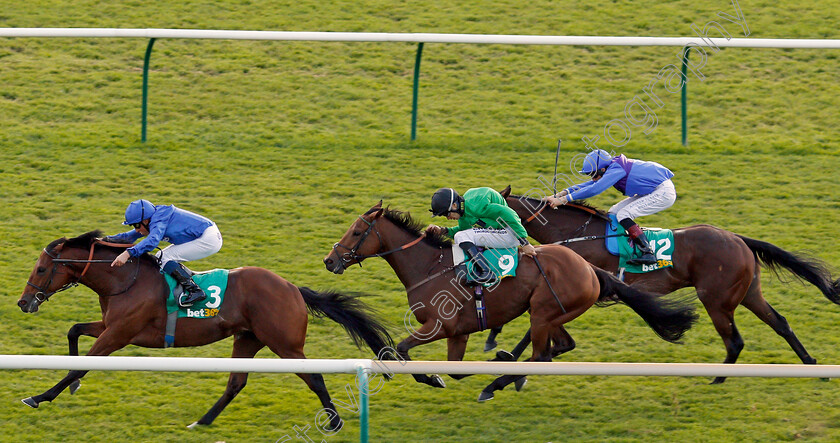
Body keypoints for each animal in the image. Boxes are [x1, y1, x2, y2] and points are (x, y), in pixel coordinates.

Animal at [18, 232, 394, 430]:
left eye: (41, 269)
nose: (23, 302)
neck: (125, 279)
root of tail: (292, 288)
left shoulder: (119, 334)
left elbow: (78, 366)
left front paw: (39, 397)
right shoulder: (112, 327)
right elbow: (74, 331)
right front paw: (71, 387)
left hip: (284, 344)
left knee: (313, 376)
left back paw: (334, 421)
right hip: (248, 339)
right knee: (236, 382)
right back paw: (202, 421)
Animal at [322, 204, 696, 402]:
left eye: (357, 232)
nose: (330, 260)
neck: (427, 266)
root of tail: (589, 268)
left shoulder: (439, 325)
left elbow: (400, 349)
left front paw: (431, 378)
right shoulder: (458, 332)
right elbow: (452, 369)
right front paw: (441, 375)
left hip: (543, 312)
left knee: (542, 355)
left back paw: (498, 379)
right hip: (553, 314)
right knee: (561, 346)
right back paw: (506, 371)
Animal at [502, 186, 836, 384]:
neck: (576, 234)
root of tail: (738, 238)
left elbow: (535, 328)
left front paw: (509, 357)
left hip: (716, 299)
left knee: (735, 340)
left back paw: (718, 379)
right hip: (748, 293)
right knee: (780, 323)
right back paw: (812, 365)